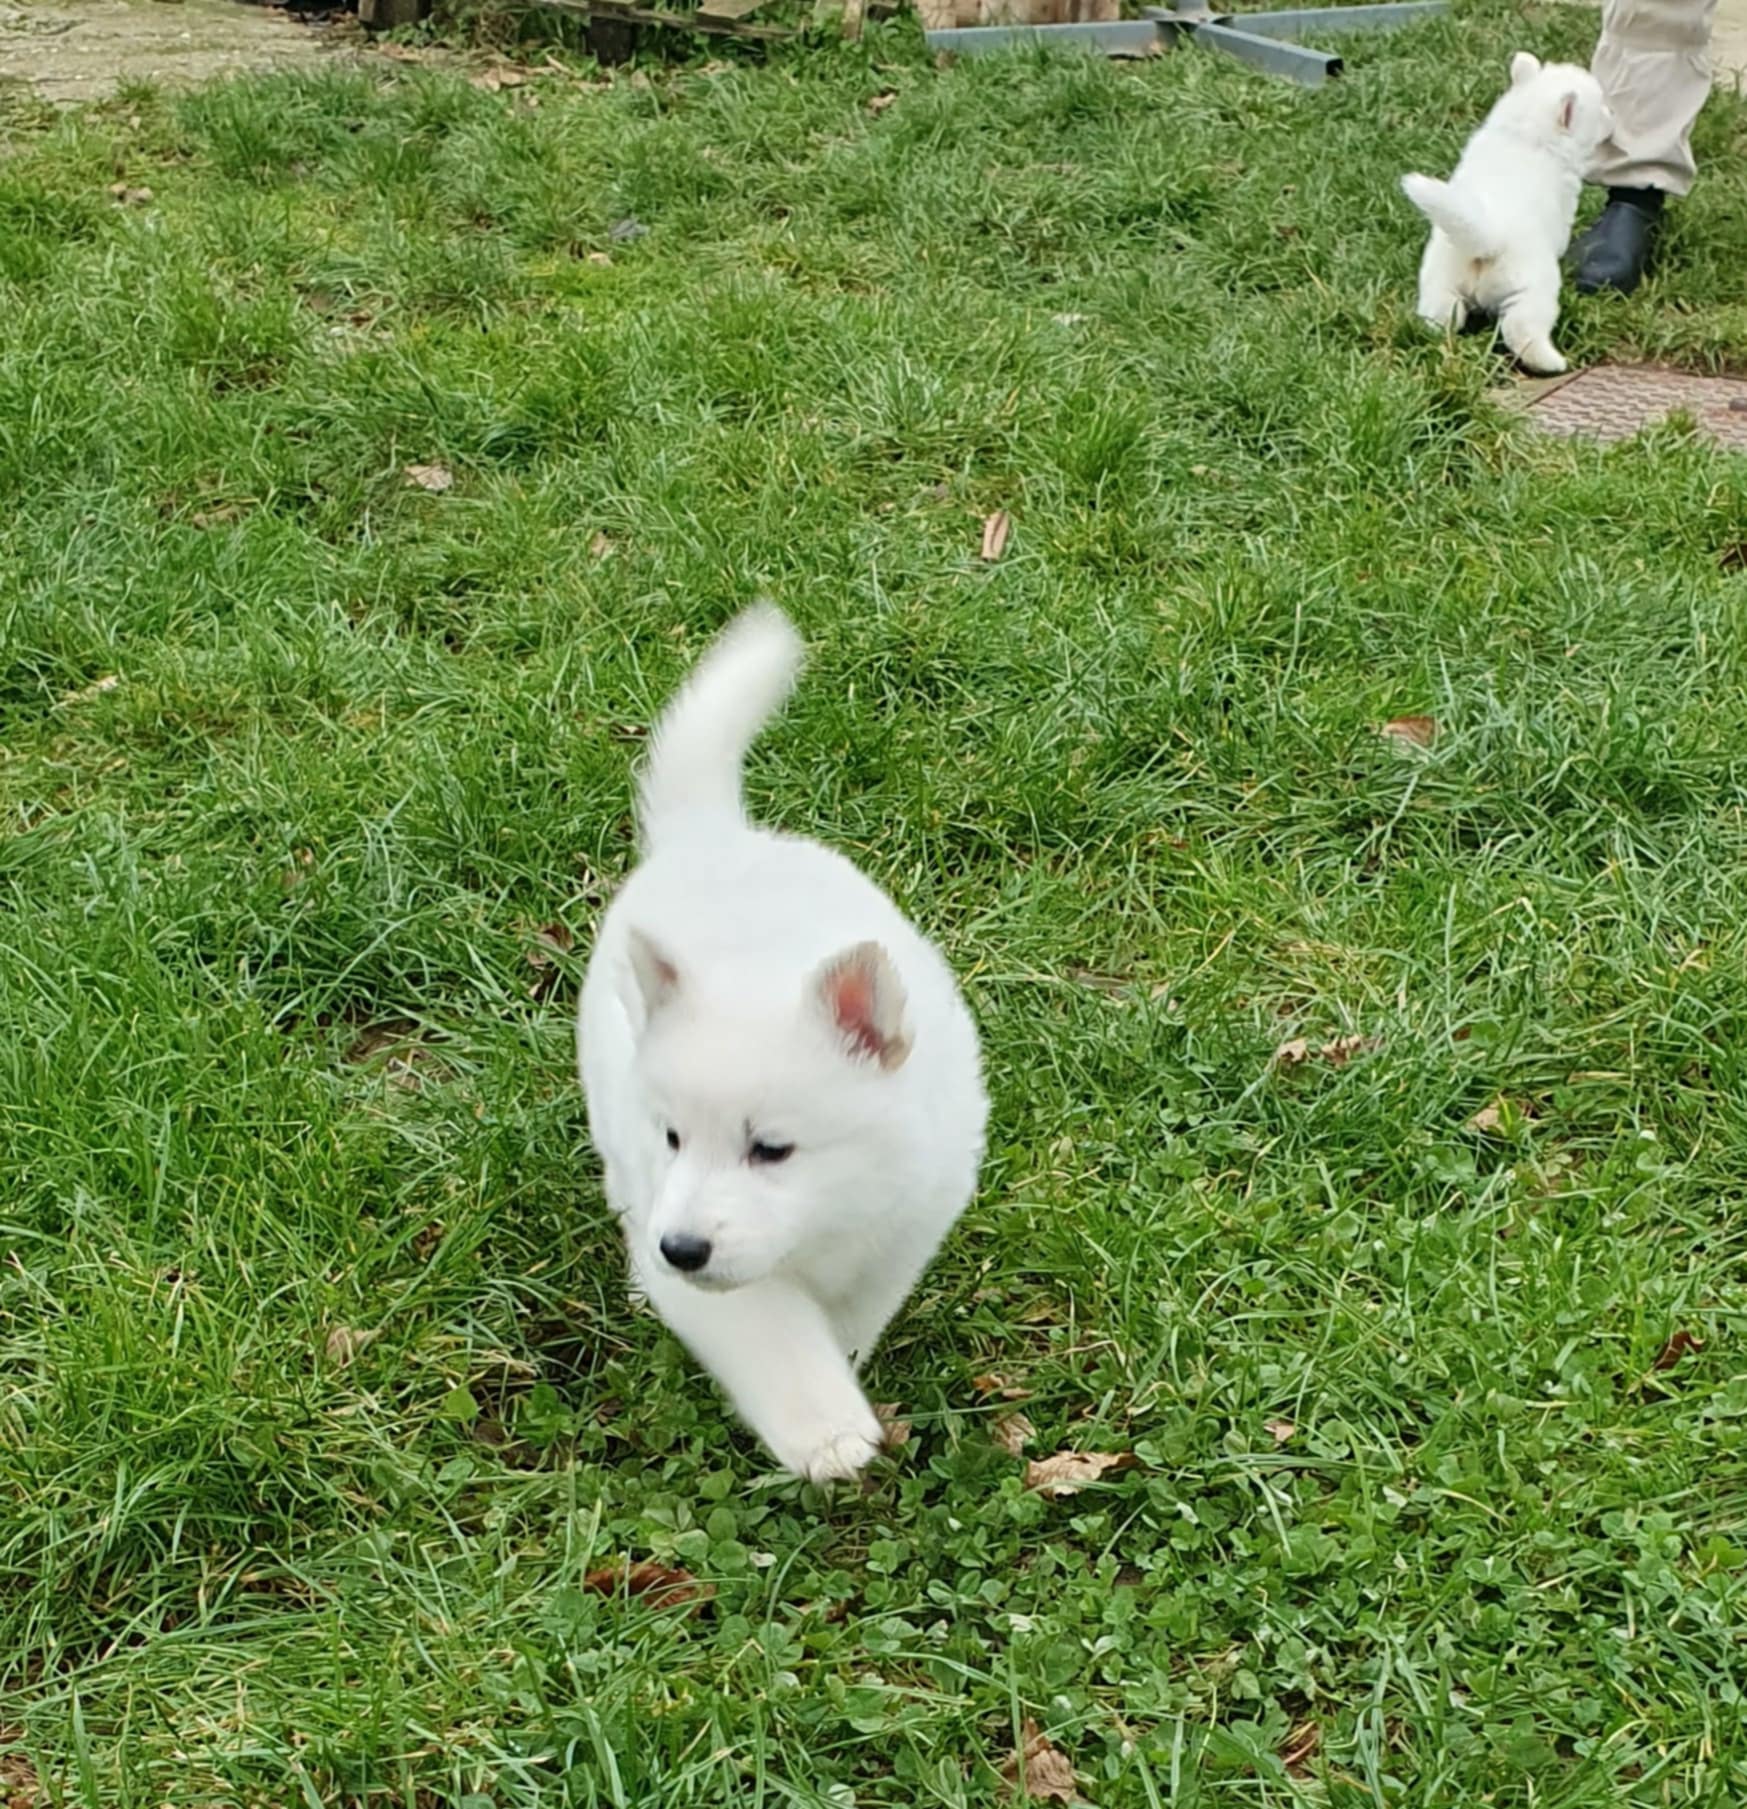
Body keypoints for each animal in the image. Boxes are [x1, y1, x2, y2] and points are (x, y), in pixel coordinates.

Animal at [575, 607, 983, 1483]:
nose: (678, 1248)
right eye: (672, 1137)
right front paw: (827, 1429)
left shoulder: (904, 1227)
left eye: (771, 1148)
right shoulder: (710, 1264)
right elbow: (770, 1333)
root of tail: (710, 837)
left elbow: (850, 1315)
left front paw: (845, 1365)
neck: (827, 1217)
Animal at [1403, 54, 1620, 376]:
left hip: (1441, 285)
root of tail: (1487, 242)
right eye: (1600, 109)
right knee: (1521, 330)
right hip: (1531, 292)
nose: (1614, 116)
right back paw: (1552, 362)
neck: (1524, 133)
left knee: (1441, 319)